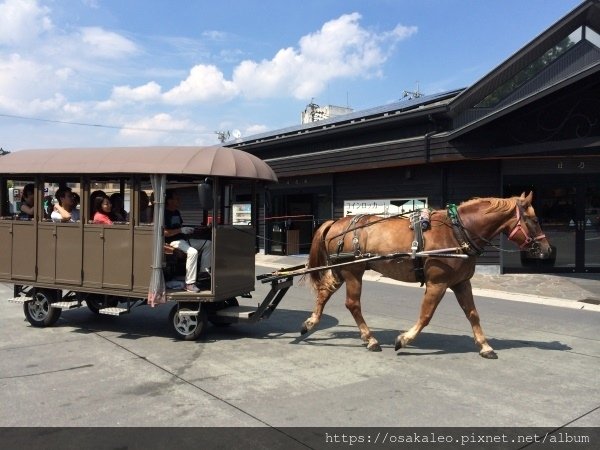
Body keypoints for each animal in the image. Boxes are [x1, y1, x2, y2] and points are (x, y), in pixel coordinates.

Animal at [302, 192, 552, 358]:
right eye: (534, 220)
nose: (547, 249)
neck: (457, 231)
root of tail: (337, 222)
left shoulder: (461, 282)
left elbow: (472, 314)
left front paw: (485, 345)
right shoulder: (437, 283)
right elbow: (426, 315)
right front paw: (404, 339)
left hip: (340, 270)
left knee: (324, 292)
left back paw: (311, 322)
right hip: (353, 272)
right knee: (353, 304)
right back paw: (370, 339)